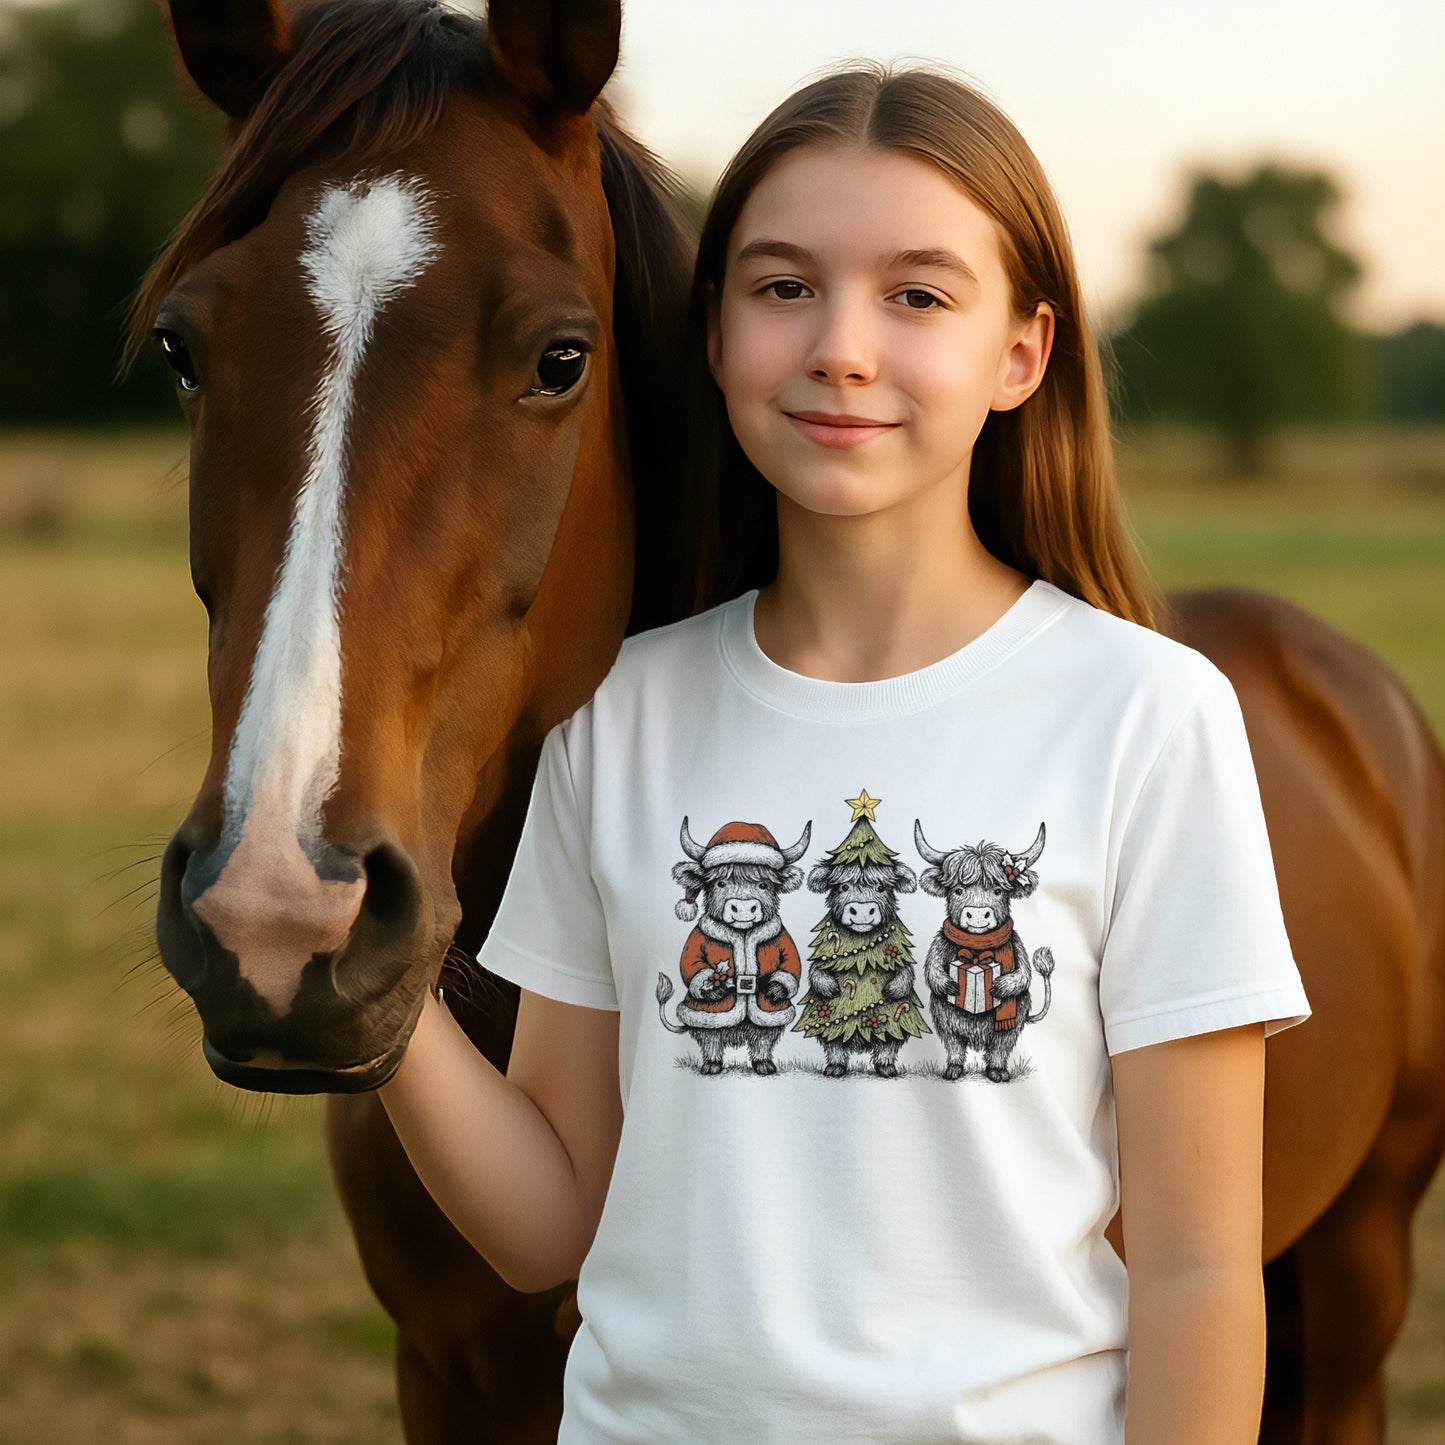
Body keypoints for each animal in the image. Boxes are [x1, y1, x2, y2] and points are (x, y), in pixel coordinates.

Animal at [656, 818, 811, 1075]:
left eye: (764, 884)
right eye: (720, 883)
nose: (744, 907)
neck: (743, 933)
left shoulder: (783, 940)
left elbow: (790, 965)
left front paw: (774, 990)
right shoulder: (696, 941)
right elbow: (691, 964)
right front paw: (714, 989)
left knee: (762, 1038)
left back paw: (763, 1064)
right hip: (707, 1019)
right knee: (711, 1038)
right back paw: (711, 1065)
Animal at [915, 820, 1056, 1082]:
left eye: (998, 891)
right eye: (958, 890)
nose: (978, 914)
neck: (977, 947)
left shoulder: (1017, 947)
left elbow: (1024, 975)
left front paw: (1000, 986)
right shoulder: (940, 944)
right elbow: (932, 970)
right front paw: (950, 985)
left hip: (1012, 1022)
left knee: (999, 1046)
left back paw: (997, 1071)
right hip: (945, 1019)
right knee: (954, 1044)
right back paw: (953, 1069)